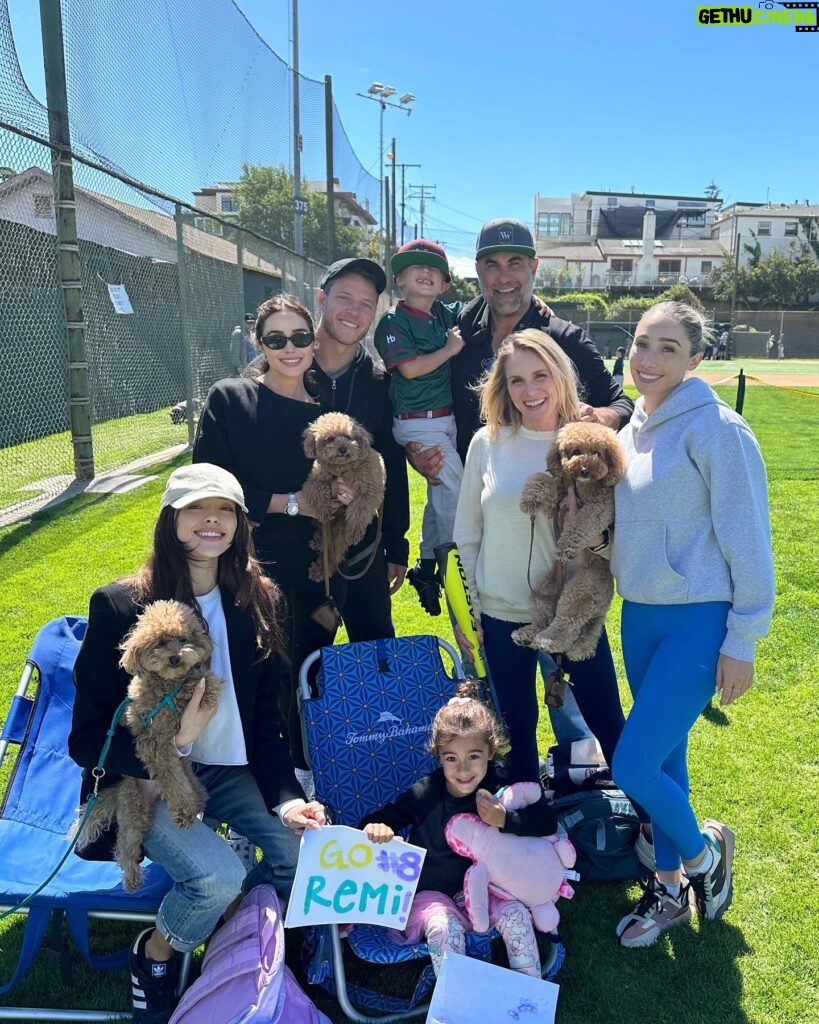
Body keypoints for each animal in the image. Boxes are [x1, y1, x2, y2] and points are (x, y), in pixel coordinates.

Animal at [300, 409, 386, 585]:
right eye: (330, 438)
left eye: (348, 437)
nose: (343, 449)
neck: (343, 468)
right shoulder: (313, 480)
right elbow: (317, 491)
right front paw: (325, 509)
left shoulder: (370, 491)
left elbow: (359, 511)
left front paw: (354, 533)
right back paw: (318, 546)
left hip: (339, 533)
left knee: (335, 553)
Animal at [511, 419, 626, 659]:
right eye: (575, 451)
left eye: (598, 453)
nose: (584, 469)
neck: (582, 486)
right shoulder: (560, 496)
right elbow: (544, 480)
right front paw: (529, 500)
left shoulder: (601, 506)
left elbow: (582, 523)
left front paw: (565, 547)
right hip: (543, 590)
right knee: (545, 617)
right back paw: (528, 634)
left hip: (581, 590)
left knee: (566, 621)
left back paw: (549, 640)